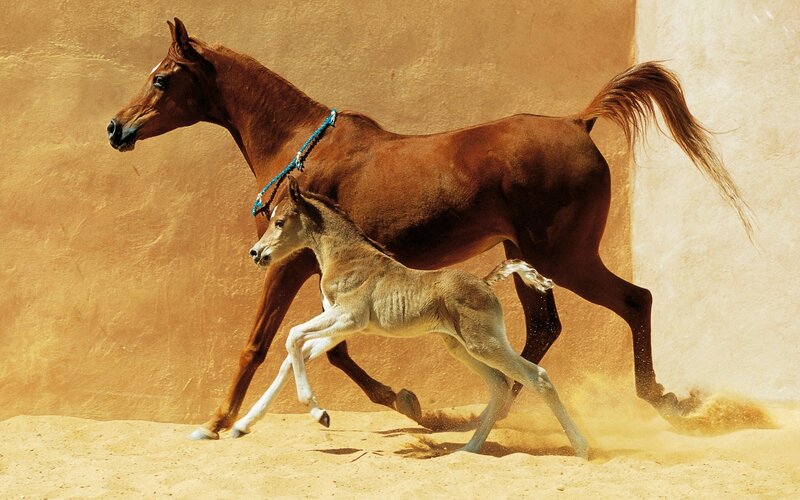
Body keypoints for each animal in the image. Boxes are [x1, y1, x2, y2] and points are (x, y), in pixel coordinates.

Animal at [232, 176, 589, 458]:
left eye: (280, 222)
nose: (256, 253)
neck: (346, 257)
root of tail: (486, 282)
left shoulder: (348, 317)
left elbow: (292, 336)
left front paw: (319, 413)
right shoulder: (341, 326)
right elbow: (294, 354)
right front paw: (242, 425)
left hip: (483, 343)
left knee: (536, 377)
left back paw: (582, 447)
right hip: (460, 346)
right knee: (499, 384)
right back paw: (470, 449)